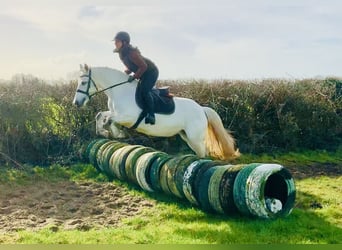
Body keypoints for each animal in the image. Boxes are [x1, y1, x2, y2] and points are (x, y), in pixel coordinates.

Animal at [73, 64, 238, 160]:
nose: (76, 102)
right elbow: (101, 115)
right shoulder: (115, 112)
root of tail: (201, 109)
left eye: (83, 82)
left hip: (195, 137)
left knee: (203, 153)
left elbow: (110, 120)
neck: (119, 91)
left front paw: (115, 133)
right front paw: (104, 132)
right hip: (187, 136)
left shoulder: (128, 117)